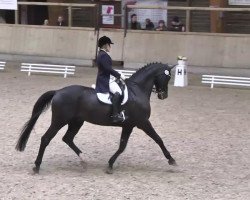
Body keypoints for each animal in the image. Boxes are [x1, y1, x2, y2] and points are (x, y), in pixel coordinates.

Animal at [15, 62, 177, 173]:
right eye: (167, 77)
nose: (163, 95)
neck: (137, 91)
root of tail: (58, 91)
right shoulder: (143, 122)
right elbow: (158, 139)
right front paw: (171, 160)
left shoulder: (128, 125)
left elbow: (122, 146)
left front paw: (110, 164)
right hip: (59, 121)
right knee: (46, 138)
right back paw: (37, 166)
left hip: (76, 122)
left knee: (67, 138)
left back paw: (84, 160)